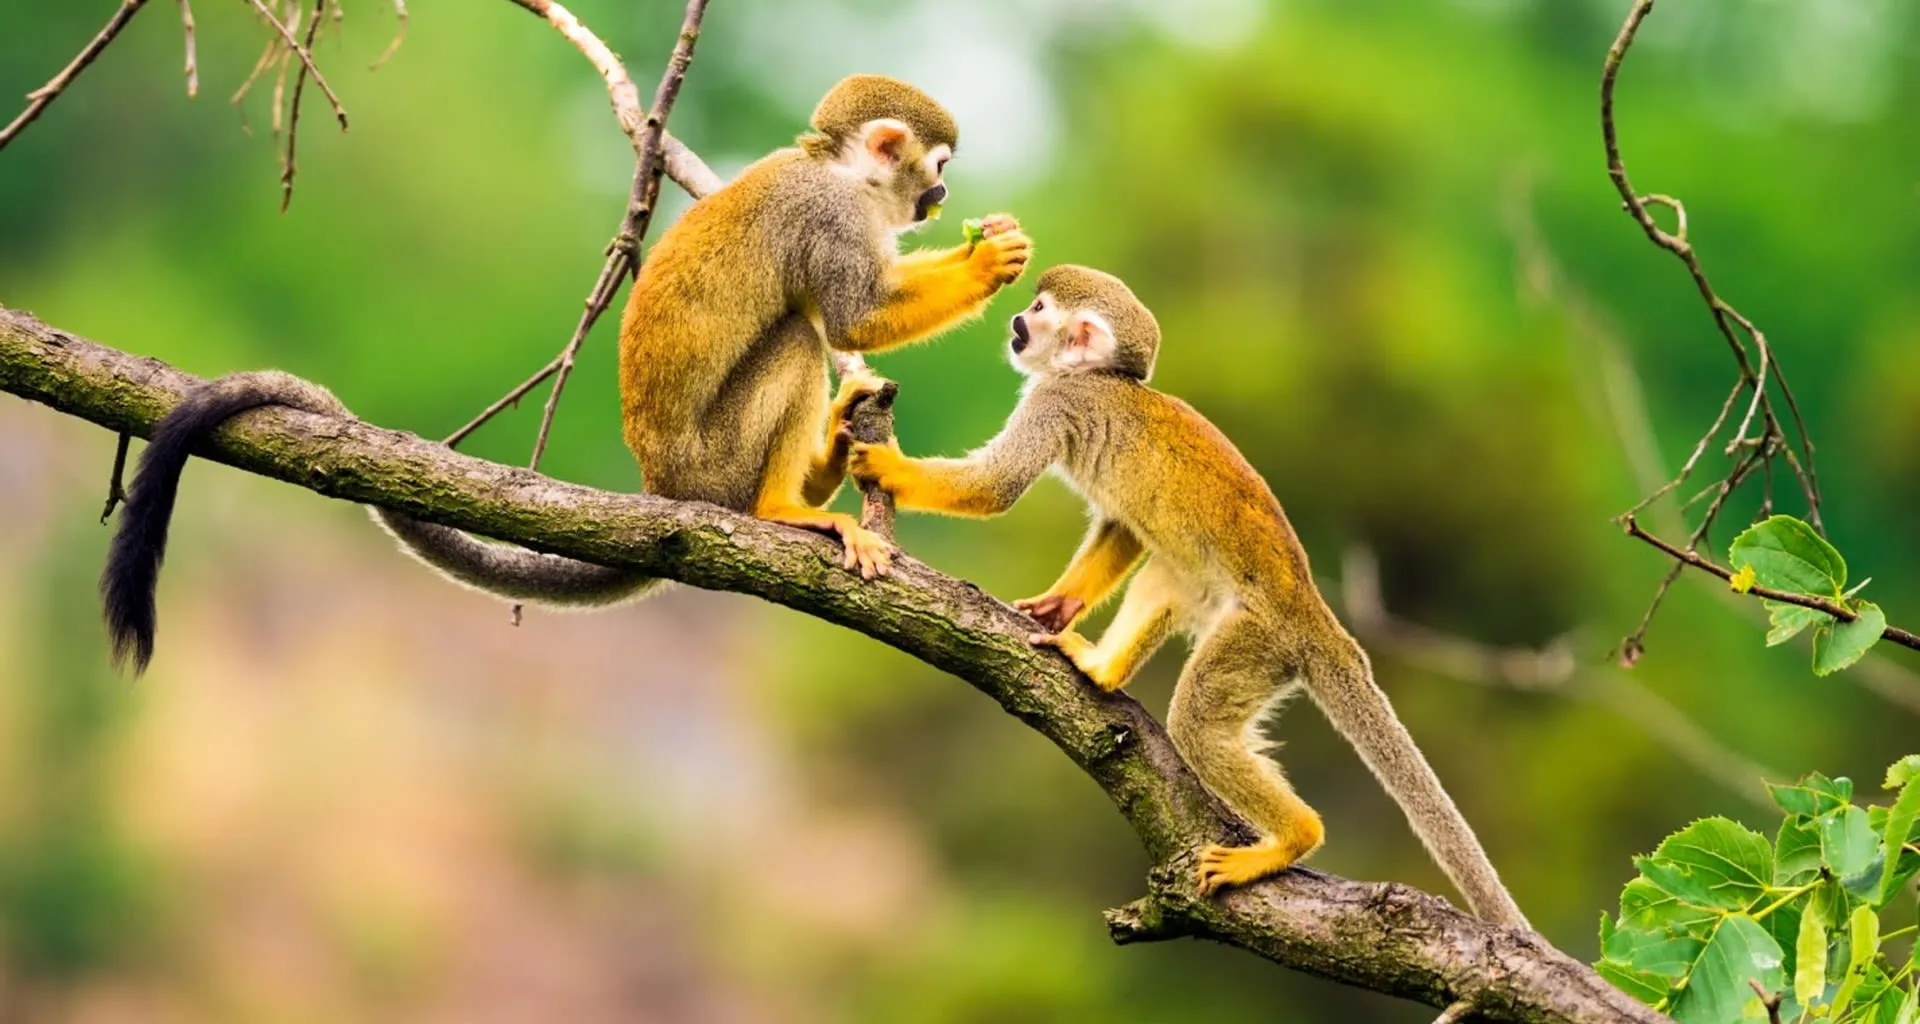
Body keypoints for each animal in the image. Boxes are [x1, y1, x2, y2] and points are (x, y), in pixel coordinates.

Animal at [100, 74, 1031, 673]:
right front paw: (990, 264)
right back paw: (783, 508)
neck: (842, 174)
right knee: (798, 338)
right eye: (937, 166)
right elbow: (849, 318)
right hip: (714, 464)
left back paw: (833, 452)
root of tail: (663, 490)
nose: (943, 197)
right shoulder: (829, 218)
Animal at [844, 265, 1529, 927]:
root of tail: (1317, 618)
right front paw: (1059, 605)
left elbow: (996, 488)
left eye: (1038, 311)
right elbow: (1121, 528)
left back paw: (1293, 838)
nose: (1015, 322)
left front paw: (886, 467)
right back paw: (1103, 669)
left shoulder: (1057, 402)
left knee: (1197, 719)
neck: (1097, 378)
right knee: (1167, 573)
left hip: (1261, 641)